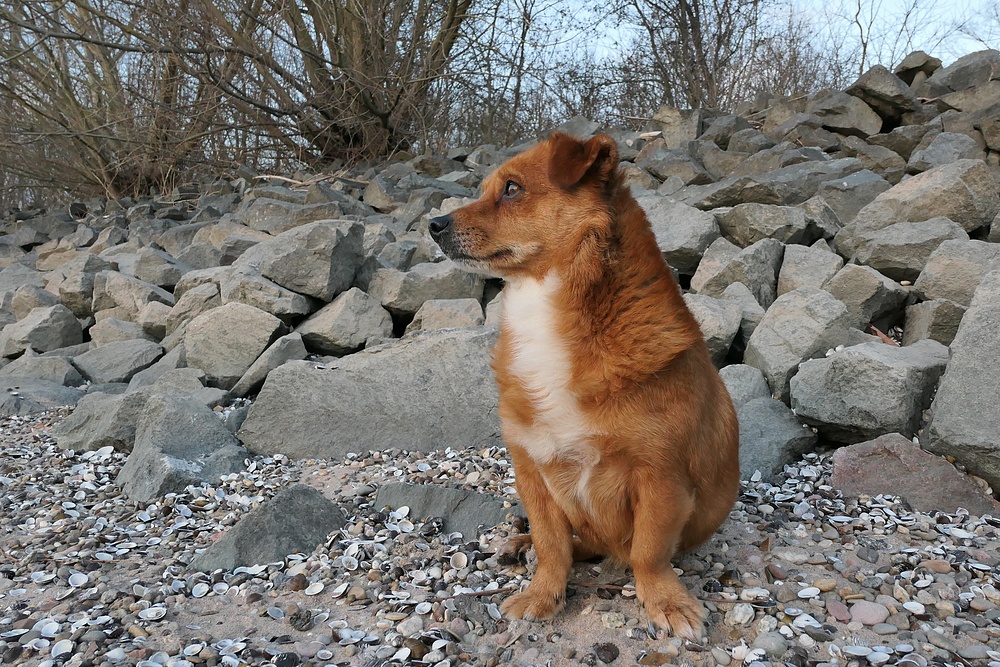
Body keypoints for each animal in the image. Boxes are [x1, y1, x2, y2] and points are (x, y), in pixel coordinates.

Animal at [426, 133, 740, 640]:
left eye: (512, 189)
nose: (433, 224)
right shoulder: (533, 472)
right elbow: (553, 545)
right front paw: (542, 594)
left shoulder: (662, 479)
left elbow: (649, 553)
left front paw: (665, 600)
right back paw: (520, 542)